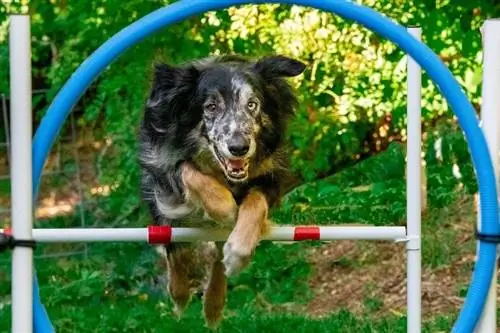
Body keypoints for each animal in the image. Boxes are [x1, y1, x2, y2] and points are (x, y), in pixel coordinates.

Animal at [139, 53, 306, 326]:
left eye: (252, 104)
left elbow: (255, 203)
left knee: (217, 256)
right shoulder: (161, 164)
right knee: (172, 244)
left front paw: (238, 251)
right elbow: (188, 171)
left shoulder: (273, 174)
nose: (239, 147)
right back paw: (180, 291)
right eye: (211, 107)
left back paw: (214, 303)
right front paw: (225, 207)